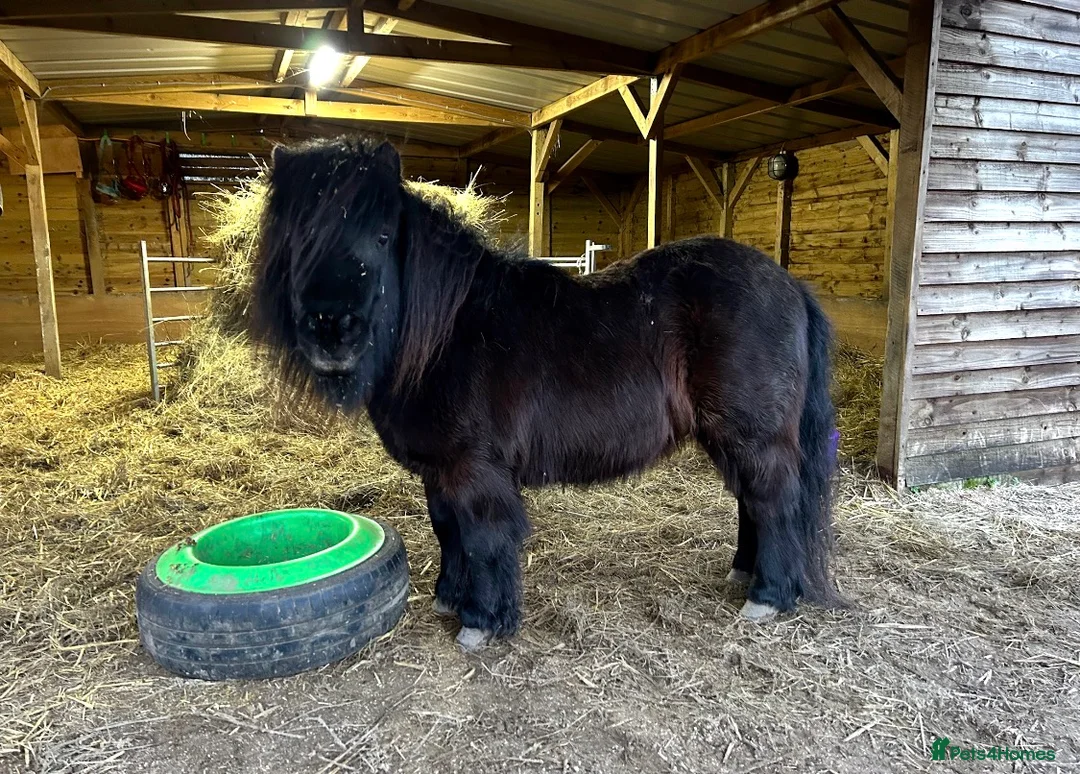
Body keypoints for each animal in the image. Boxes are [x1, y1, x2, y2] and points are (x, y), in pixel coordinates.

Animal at [251, 135, 841, 650]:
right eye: (299, 238)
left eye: (380, 237)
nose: (332, 332)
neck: (448, 330)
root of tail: (790, 285)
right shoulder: (440, 471)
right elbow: (447, 529)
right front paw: (449, 599)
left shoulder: (476, 469)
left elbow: (482, 537)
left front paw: (482, 621)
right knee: (751, 501)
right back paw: (744, 572)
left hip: (753, 434)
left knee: (773, 500)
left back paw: (768, 594)